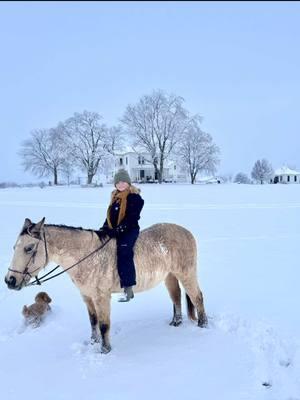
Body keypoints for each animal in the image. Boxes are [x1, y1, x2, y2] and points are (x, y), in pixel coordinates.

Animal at [4, 219, 207, 354]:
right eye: (15, 247)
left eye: (29, 248)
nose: (9, 280)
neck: (87, 256)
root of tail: (186, 231)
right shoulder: (87, 296)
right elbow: (93, 321)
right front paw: (93, 343)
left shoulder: (101, 297)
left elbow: (103, 325)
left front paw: (105, 349)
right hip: (169, 276)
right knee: (176, 296)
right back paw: (176, 322)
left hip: (186, 273)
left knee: (197, 297)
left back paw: (203, 325)